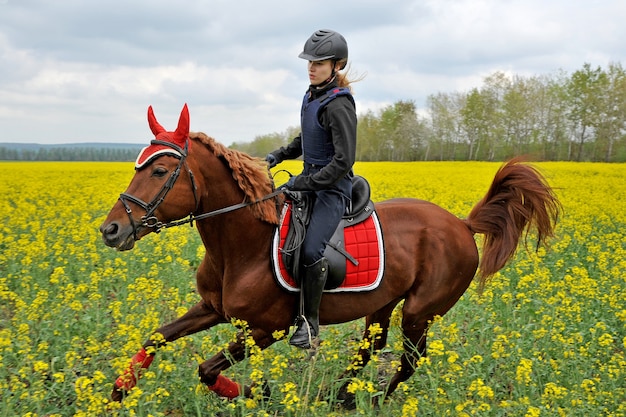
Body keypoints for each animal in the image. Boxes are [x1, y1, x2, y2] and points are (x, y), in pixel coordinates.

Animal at [100, 104, 560, 406]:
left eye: (160, 171)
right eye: (138, 166)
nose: (111, 230)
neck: (240, 246)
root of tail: (462, 225)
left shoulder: (268, 329)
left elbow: (207, 369)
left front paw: (262, 394)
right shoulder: (213, 309)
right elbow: (156, 337)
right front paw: (119, 390)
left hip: (420, 311)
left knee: (409, 360)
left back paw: (370, 400)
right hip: (383, 302)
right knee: (371, 349)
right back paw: (336, 396)